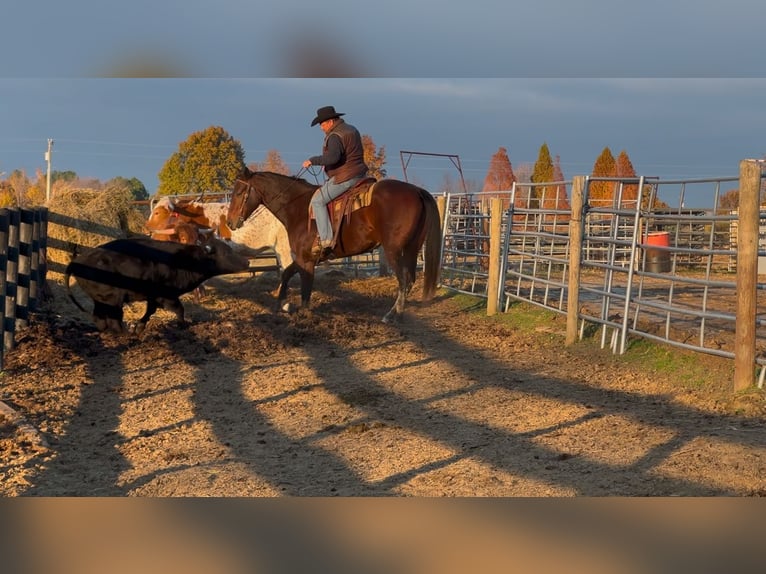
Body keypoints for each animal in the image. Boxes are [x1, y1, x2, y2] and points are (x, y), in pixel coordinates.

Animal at [228, 168, 444, 324]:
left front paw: (302, 313)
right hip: (412, 249)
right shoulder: (303, 257)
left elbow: (305, 287)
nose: (230, 222)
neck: (298, 208)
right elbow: (287, 273)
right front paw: (281, 303)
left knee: (404, 280)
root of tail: (417, 191)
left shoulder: (306, 260)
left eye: (238, 192)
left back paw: (393, 315)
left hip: (394, 251)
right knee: (410, 279)